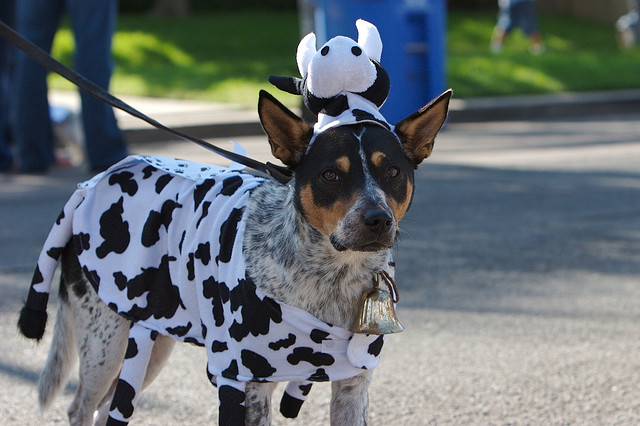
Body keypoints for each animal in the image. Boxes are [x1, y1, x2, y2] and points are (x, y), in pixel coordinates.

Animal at [18, 88, 450, 424]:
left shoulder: (352, 383)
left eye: (392, 172)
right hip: (106, 343)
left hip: (152, 341)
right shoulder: (243, 382)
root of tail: (92, 184)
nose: (377, 219)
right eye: (330, 175)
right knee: (80, 408)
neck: (330, 276)